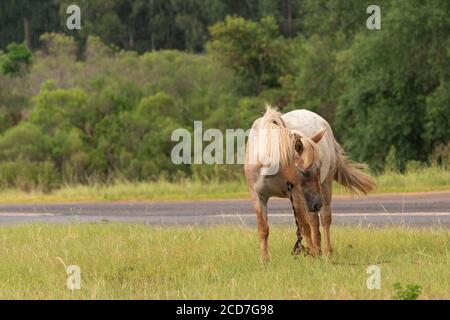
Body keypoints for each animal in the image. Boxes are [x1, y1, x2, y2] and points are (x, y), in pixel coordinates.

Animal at [244, 106, 374, 262]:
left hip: (324, 188)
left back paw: (326, 252)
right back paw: (317, 250)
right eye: (304, 172)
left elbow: (305, 227)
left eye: (319, 168)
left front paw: (311, 255)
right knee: (314, 223)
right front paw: (265, 260)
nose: (318, 203)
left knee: (323, 220)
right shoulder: (258, 197)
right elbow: (263, 229)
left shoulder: (297, 196)